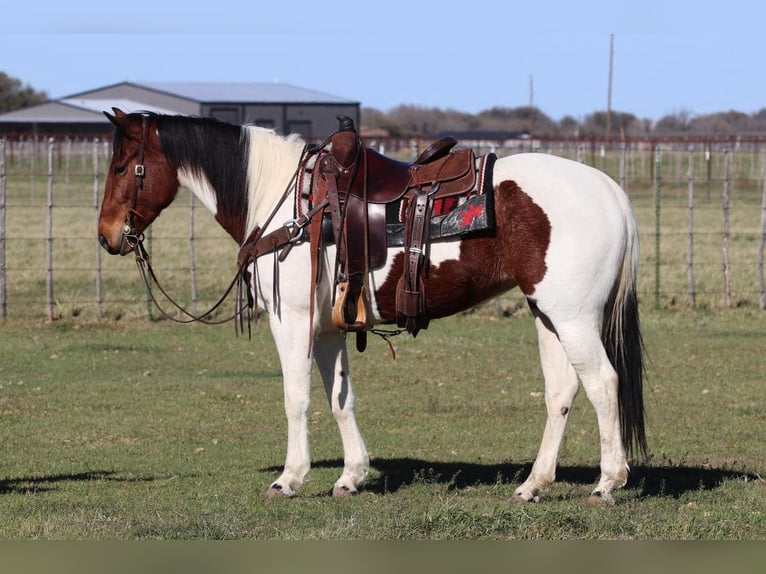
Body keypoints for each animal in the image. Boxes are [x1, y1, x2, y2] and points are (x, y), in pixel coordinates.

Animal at [97, 110, 648, 506]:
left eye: (122, 167)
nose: (106, 237)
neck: (288, 203)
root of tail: (610, 191)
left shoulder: (292, 321)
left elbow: (296, 398)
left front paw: (289, 479)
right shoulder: (328, 329)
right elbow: (341, 398)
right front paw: (351, 476)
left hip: (573, 318)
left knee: (604, 383)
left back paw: (607, 483)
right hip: (548, 316)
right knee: (561, 392)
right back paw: (533, 485)